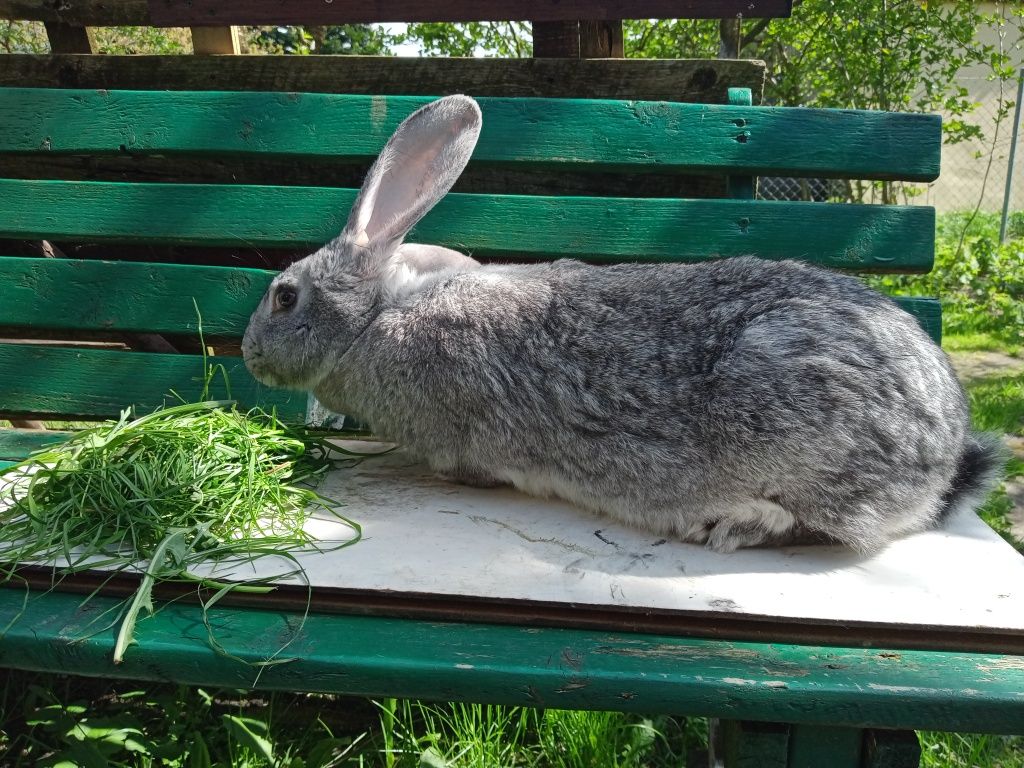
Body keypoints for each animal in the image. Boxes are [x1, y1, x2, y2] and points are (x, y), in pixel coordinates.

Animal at [243, 94, 1003, 552]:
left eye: (284, 297)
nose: (247, 353)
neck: (376, 317)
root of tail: (944, 461)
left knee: (829, 527)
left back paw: (735, 523)